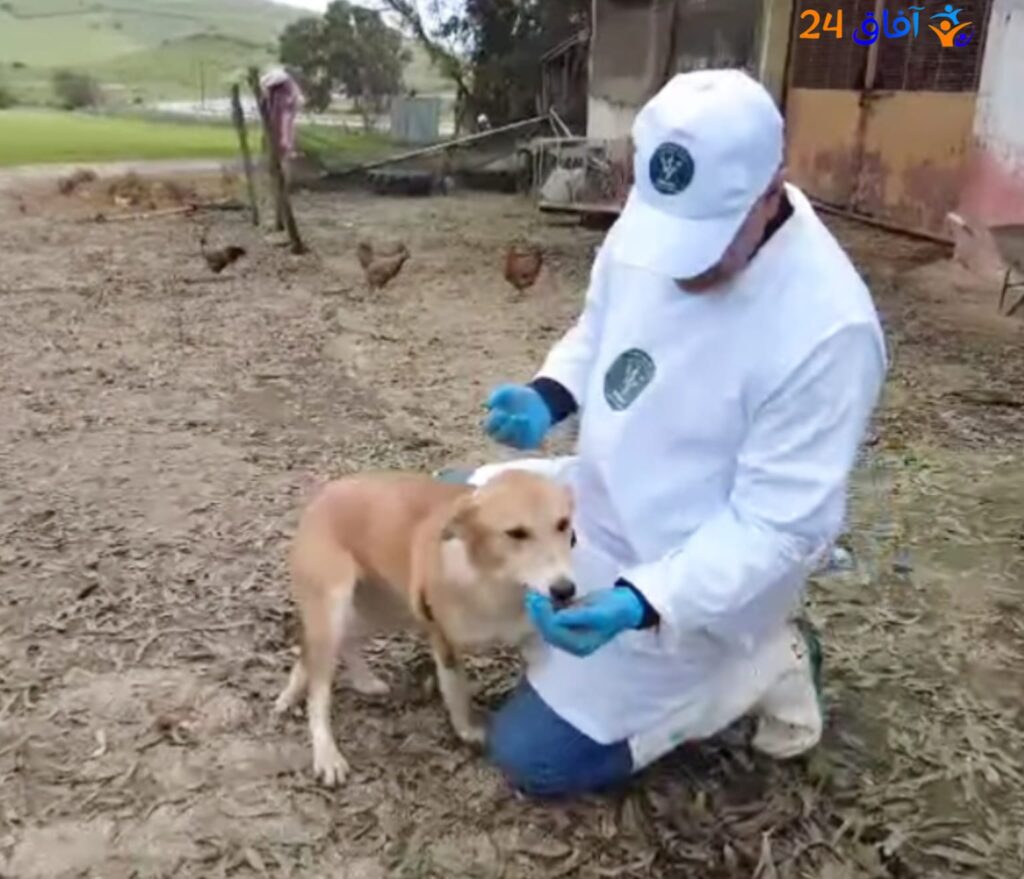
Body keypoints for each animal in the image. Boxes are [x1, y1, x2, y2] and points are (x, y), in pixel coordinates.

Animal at [273, 468, 576, 786]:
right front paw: (466, 729)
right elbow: (456, 691)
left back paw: (356, 682)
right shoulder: (443, 641)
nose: (565, 590)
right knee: (318, 688)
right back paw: (325, 752)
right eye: (516, 533)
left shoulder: (532, 639)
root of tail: (327, 491)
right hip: (335, 606)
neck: (495, 584)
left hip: (388, 608)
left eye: (563, 524)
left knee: (334, 644)